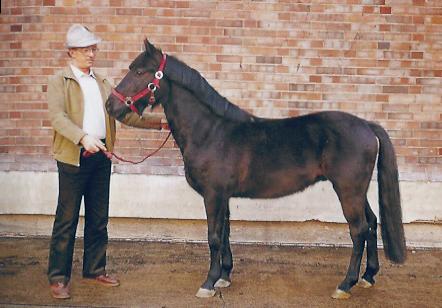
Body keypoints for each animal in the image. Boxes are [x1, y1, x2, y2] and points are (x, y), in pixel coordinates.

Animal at [105, 39, 406, 300]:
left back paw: (345, 284)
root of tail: (367, 125)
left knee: (358, 230)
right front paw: (224, 276)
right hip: (357, 191)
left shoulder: (213, 195)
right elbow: (225, 232)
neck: (210, 131)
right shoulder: (223, 196)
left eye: (139, 71)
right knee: (372, 223)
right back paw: (368, 276)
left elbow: (213, 237)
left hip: (347, 191)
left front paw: (208, 283)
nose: (111, 105)